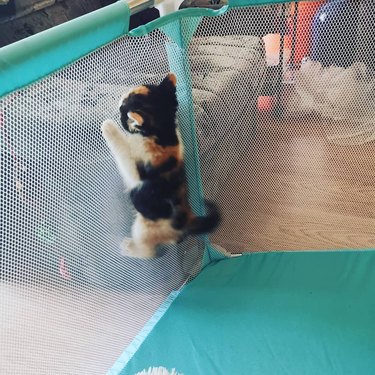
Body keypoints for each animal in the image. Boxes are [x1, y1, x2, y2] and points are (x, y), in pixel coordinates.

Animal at [101, 74, 222, 258]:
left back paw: (129, 247)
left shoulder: (137, 172)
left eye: (124, 108)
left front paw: (108, 127)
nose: (120, 98)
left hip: (144, 227)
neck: (164, 134)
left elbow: (123, 150)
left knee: (148, 253)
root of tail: (188, 219)